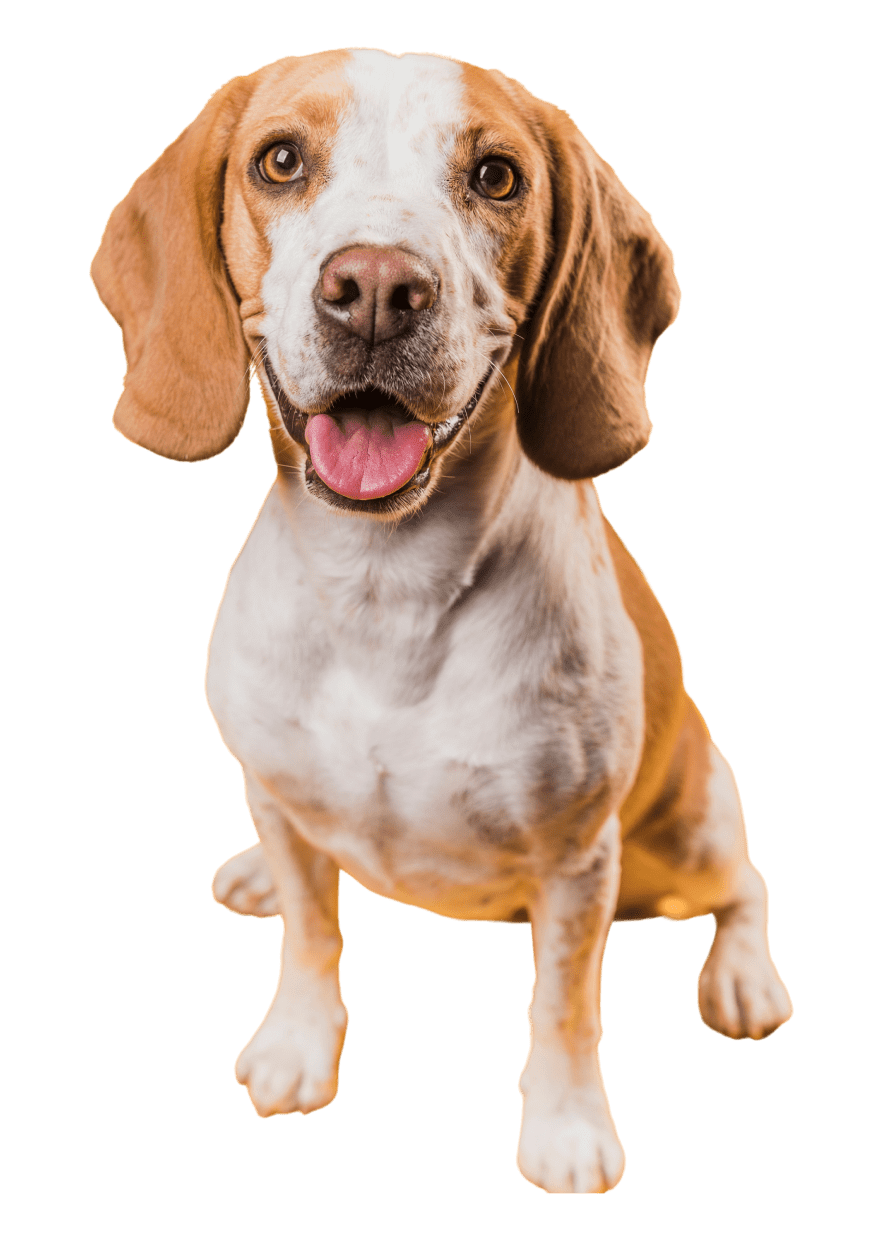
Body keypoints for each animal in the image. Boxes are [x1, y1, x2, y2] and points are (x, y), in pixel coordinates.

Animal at [91, 45, 793, 1190]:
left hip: (686, 831)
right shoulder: (279, 792)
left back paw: (743, 978)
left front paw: (566, 1125)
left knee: (745, 885)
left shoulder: (575, 863)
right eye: (279, 160)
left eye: (497, 176)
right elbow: (312, 937)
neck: (385, 594)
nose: (376, 288)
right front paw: (297, 1044)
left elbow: (564, 1005)